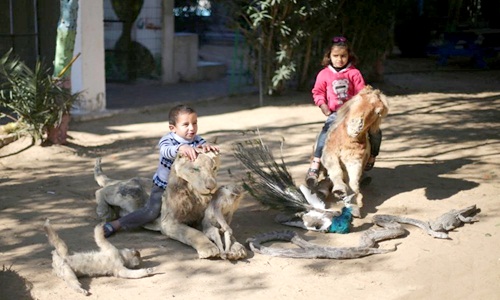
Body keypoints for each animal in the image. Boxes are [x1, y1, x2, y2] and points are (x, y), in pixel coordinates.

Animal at [320, 85, 390, 214]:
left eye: (377, 112)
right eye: (357, 100)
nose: (355, 126)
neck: (346, 140)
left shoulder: (355, 161)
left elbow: (353, 182)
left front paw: (354, 205)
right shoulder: (329, 156)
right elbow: (336, 171)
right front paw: (339, 190)